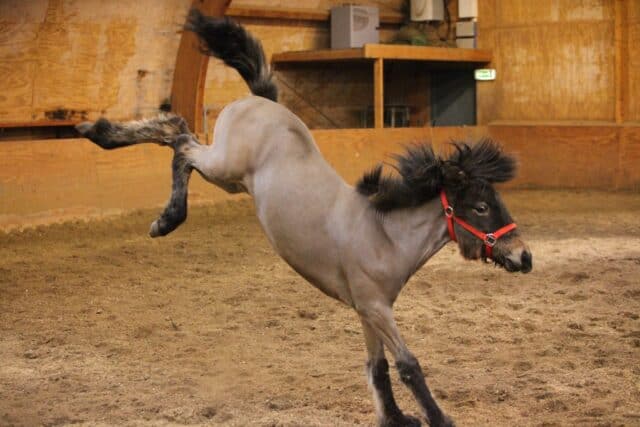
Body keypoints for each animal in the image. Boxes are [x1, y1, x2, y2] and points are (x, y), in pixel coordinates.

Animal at [76, 10, 532, 427]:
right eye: (481, 208)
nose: (524, 257)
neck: (385, 236)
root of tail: (262, 99)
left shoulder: (369, 310)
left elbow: (379, 367)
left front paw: (395, 418)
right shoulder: (376, 309)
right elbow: (408, 365)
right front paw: (438, 419)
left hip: (230, 180)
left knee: (178, 138)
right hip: (223, 166)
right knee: (179, 136)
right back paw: (136, 180)